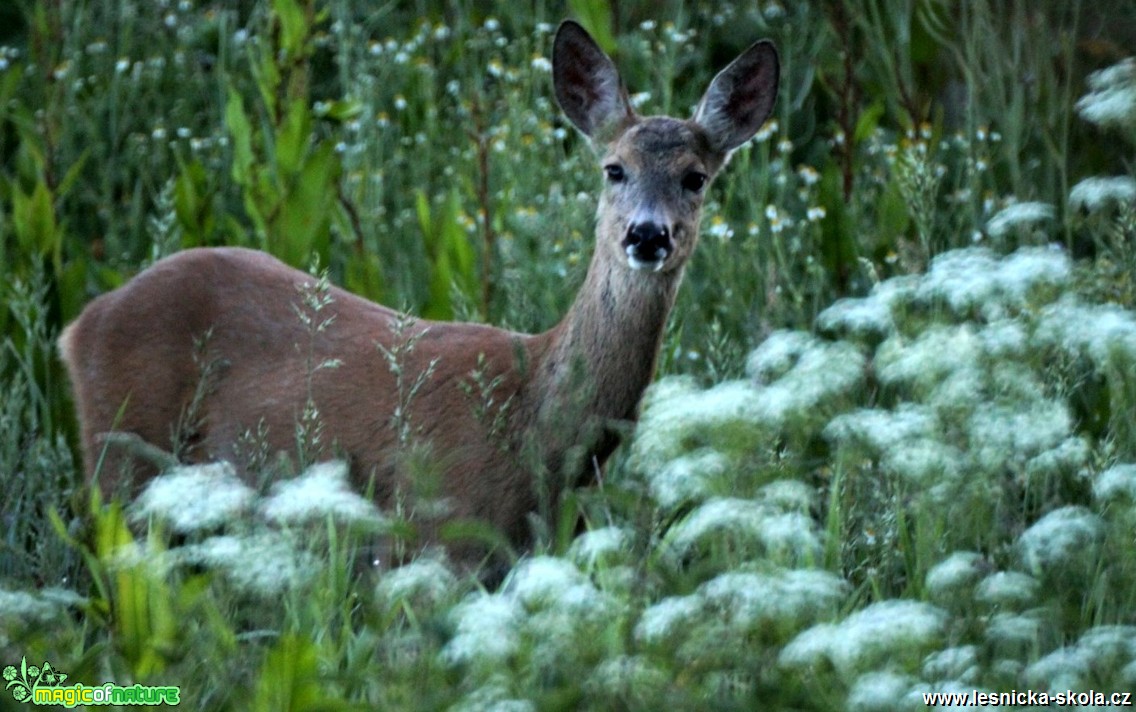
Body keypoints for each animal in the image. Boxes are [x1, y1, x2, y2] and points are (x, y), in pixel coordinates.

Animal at [57, 19, 777, 560]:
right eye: (614, 168)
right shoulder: (432, 536)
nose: (647, 235)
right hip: (122, 460)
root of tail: (79, 324)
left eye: (695, 177)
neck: (535, 424)